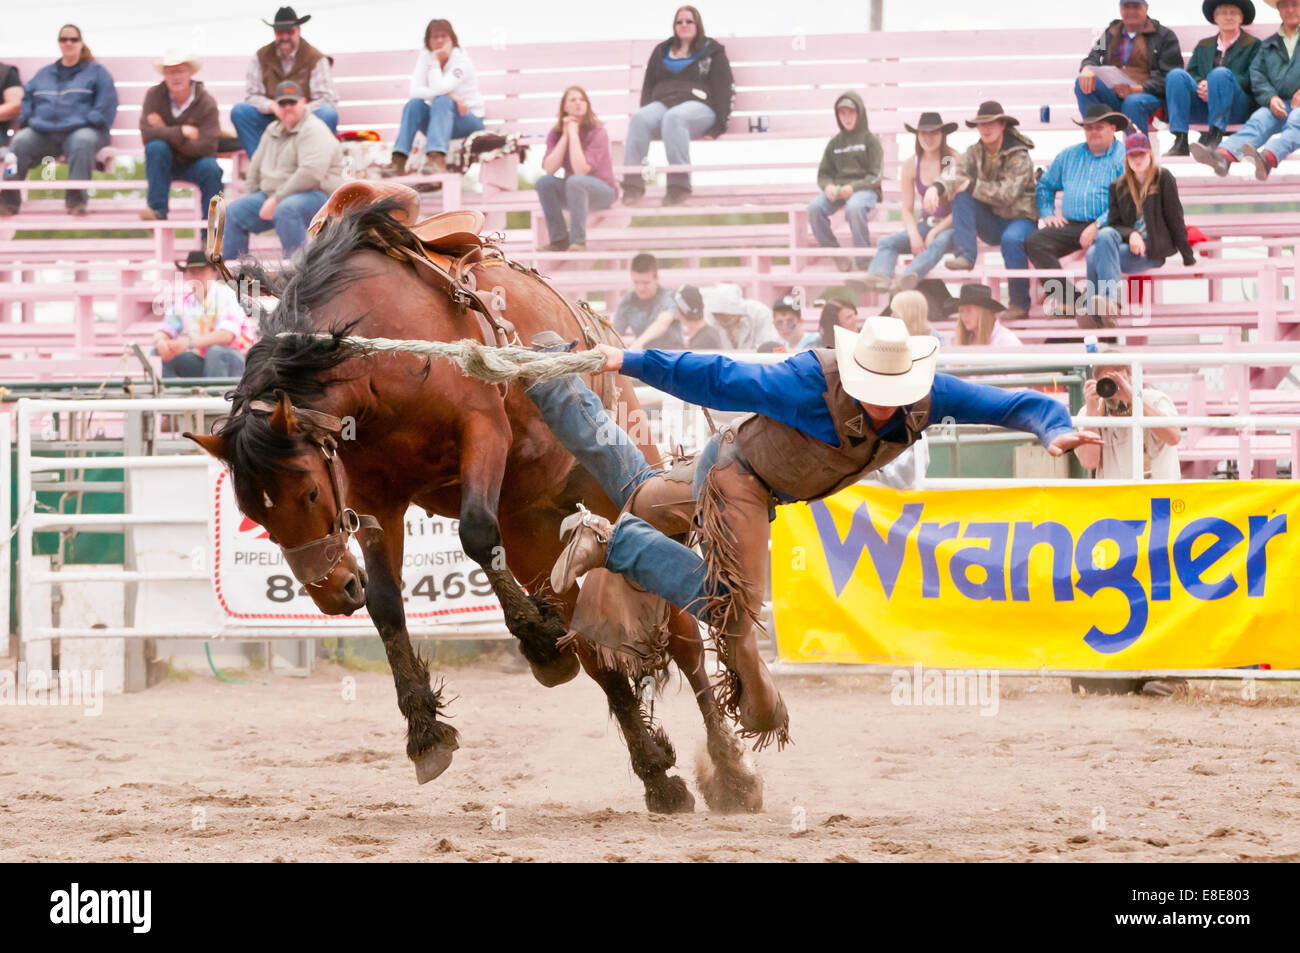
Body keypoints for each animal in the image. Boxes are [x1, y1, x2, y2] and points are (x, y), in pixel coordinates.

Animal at [188, 182, 764, 816]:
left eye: (310, 489)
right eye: (252, 513)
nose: (331, 592)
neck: (374, 355)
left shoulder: (483, 431)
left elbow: (474, 533)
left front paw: (537, 642)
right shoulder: (376, 498)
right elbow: (386, 604)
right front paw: (425, 732)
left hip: (621, 488)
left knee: (683, 639)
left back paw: (731, 774)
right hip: (539, 535)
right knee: (599, 658)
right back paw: (657, 773)